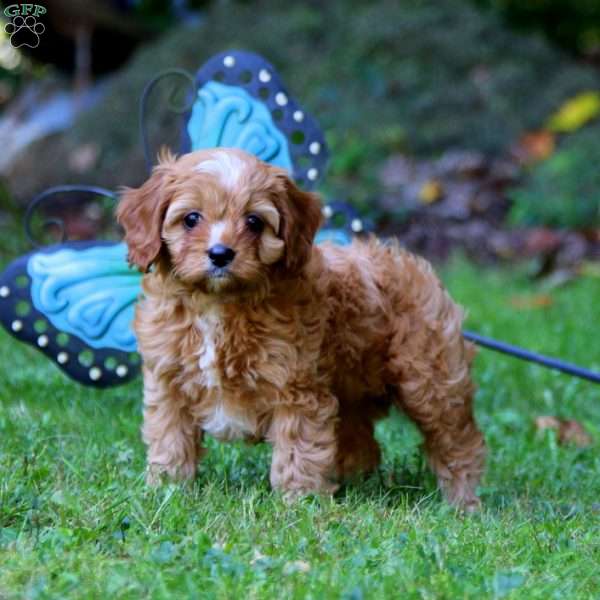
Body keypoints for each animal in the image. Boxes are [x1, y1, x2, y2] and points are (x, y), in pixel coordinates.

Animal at [116, 148, 482, 508]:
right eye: (191, 218)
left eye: (254, 221)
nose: (220, 254)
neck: (217, 304)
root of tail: (408, 261)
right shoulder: (168, 382)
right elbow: (170, 437)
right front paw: (167, 489)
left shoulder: (296, 387)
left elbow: (299, 448)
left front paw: (298, 503)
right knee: (361, 442)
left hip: (430, 380)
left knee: (457, 440)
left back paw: (462, 504)